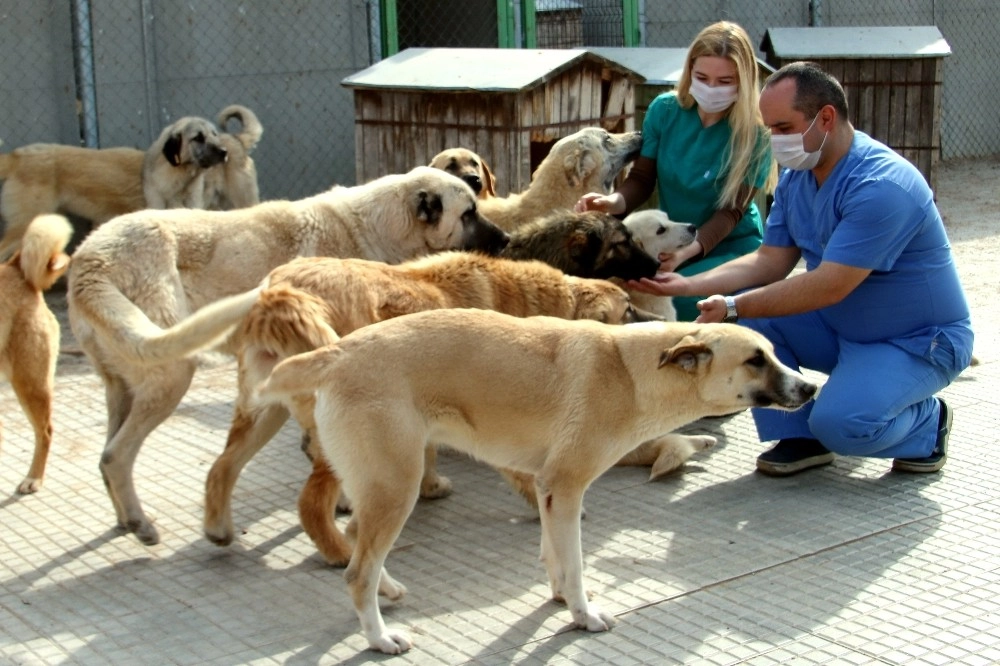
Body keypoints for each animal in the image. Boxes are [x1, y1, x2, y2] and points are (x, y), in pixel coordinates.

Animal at [67, 166, 508, 544]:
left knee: (107, 455)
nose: (505, 240)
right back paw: (140, 522)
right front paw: (343, 503)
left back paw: (125, 519)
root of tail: (88, 261)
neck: (378, 225)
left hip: (121, 387)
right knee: (115, 455)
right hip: (172, 372)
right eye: (468, 213)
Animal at [201, 252, 680, 564]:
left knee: (222, 466)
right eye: (629, 309)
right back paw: (339, 551)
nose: (666, 324)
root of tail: (278, 291)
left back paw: (219, 528)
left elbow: (429, 452)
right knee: (309, 503)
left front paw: (429, 486)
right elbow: (525, 474)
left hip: (264, 410)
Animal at [260, 308, 820, 652]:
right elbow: (575, 566)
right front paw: (583, 615)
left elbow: (554, 556)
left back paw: (389, 589)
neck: (630, 372)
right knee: (357, 571)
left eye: (771, 354)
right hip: (398, 486)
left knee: (359, 542)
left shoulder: (550, 491)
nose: (811, 387)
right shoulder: (566, 488)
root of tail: (338, 352)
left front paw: (558, 599)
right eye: (755, 359)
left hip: (380, 484)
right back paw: (380, 639)